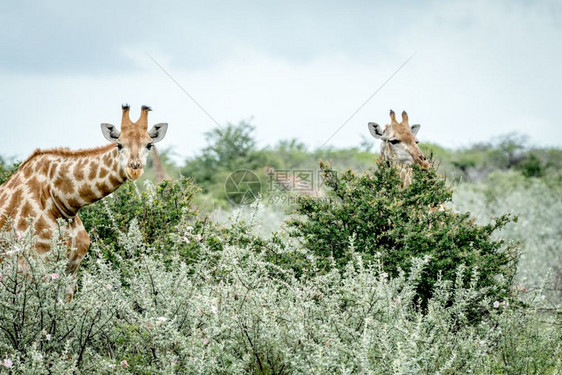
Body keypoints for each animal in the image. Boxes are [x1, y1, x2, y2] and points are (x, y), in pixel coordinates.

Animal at [0, 105, 167, 300]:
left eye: (149, 145)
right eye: (119, 145)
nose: (134, 169)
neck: (62, 201)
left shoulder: (71, 269)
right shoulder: (31, 268)